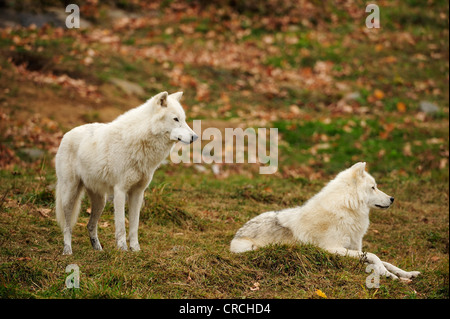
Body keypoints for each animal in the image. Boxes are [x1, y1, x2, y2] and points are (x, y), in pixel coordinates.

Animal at [55, 92, 197, 255]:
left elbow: (134, 226)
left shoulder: (138, 193)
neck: (141, 141)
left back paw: (98, 249)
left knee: (90, 225)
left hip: (100, 201)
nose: (195, 137)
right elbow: (121, 226)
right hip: (70, 195)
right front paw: (122, 249)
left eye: (184, 119)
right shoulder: (120, 191)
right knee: (67, 226)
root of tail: (65, 135)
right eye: (176, 119)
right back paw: (67, 250)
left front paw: (135, 249)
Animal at [230, 164, 420, 282]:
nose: (392, 199)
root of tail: (238, 233)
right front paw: (386, 273)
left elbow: (386, 261)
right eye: (373, 187)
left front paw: (405, 273)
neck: (346, 210)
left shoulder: (354, 249)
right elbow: (375, 256)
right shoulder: (333, 249)